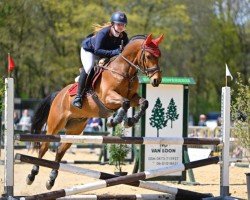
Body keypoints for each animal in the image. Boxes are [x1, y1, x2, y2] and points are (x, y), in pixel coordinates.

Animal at [26, 33, 164, 190]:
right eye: (148, 56)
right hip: (55, 125)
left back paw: (51, 180)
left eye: (159, 56)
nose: (156, 80)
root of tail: (58, 94)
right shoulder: (107, 97)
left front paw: (130, 121)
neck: (124, 71)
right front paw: (115, 121)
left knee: (60, 150)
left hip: (75, 130)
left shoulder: (133, 97)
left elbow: (144, 103)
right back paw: (32, 175)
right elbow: (125, 102)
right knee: (44, 147)